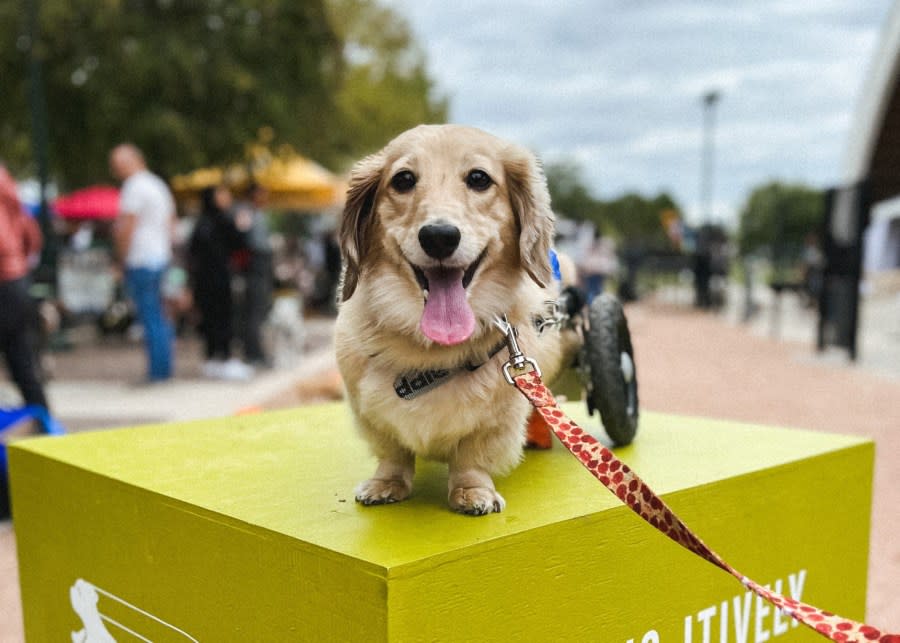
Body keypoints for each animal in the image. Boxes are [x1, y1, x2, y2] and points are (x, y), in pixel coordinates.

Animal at [334, 124, 572, 520]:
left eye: (479, 178)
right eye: (403, 180)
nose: (439, 236)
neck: (430, 353)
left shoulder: (496, 422)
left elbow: (471, 459)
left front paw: (472, 491)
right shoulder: (371, 417)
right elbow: (393, 454)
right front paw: (386, 484)